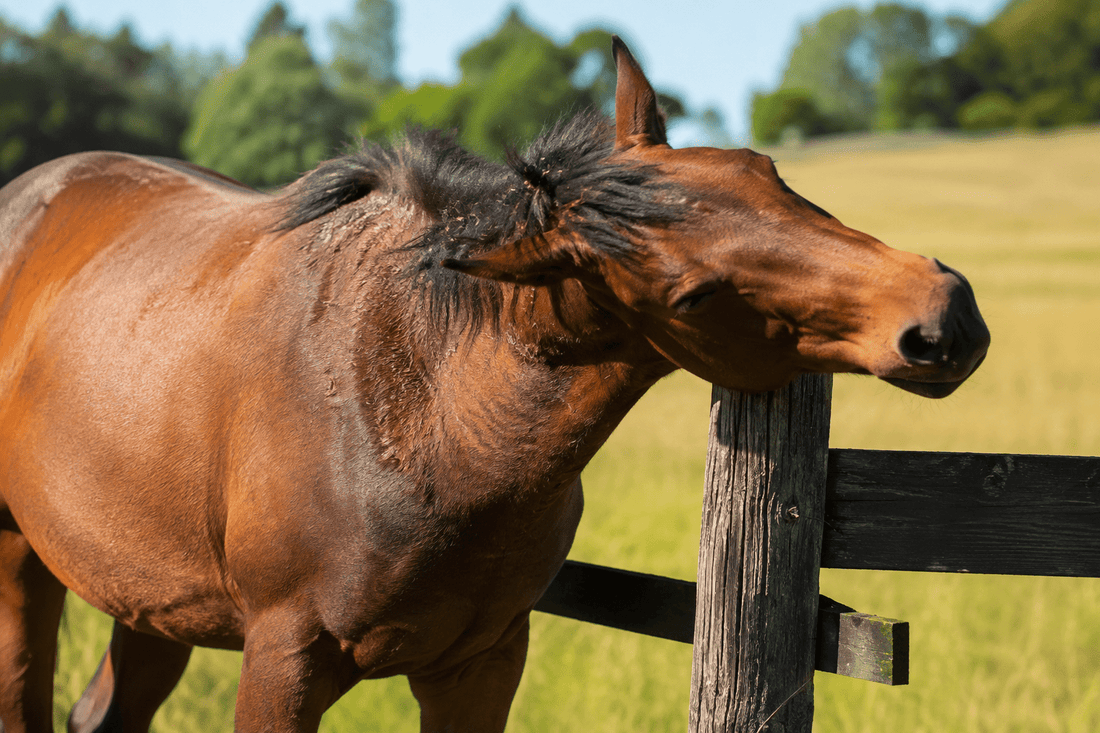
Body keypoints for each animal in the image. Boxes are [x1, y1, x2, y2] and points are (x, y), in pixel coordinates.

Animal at [0, 38, 988, 733]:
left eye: (765, 170)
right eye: (694, 295)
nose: (942, 315)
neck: (422, 414)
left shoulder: (479, 663)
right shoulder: (282, 661)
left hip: (150, 596)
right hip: (21, 564)